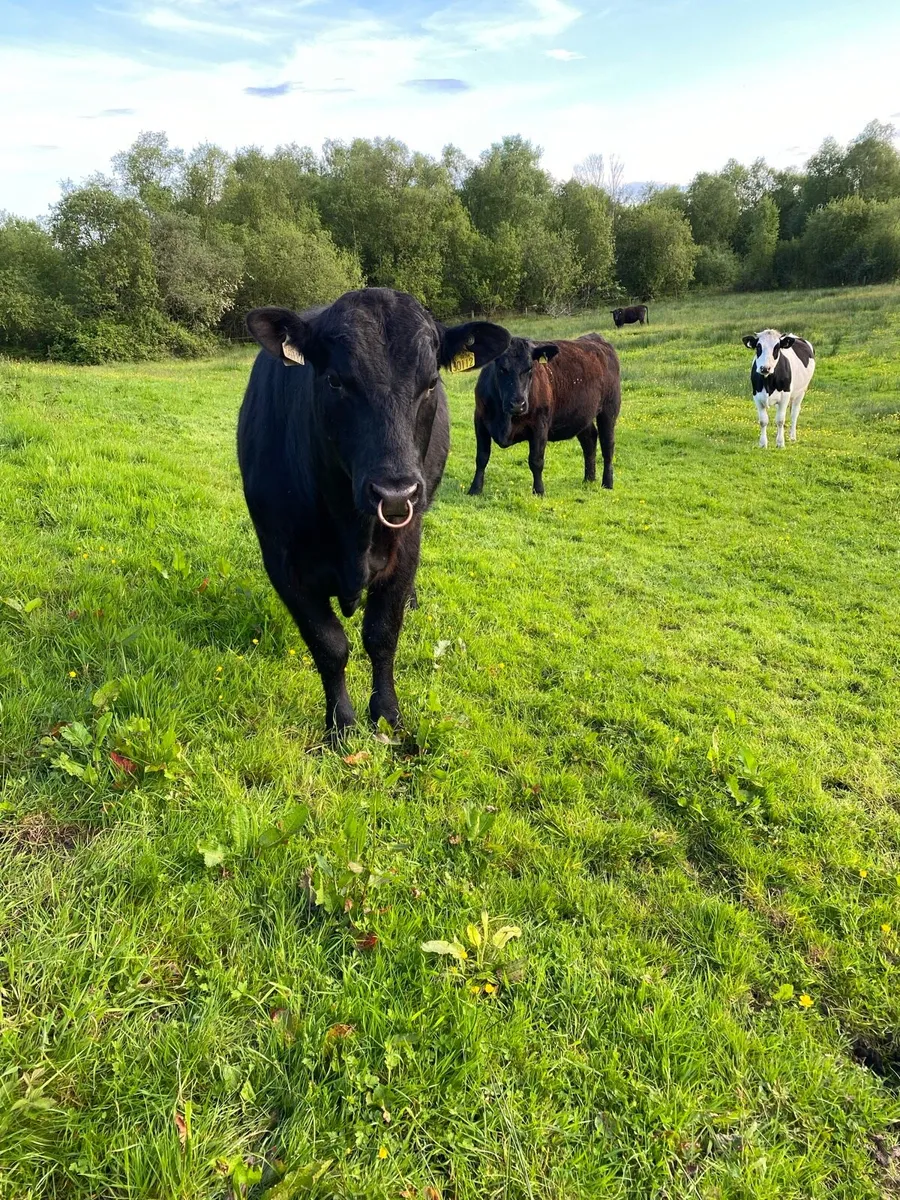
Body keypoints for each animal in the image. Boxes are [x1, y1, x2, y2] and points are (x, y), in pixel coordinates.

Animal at [238, 288, 510, 734]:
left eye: (431, 382)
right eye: (335, 380)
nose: (395, 492)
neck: (350, 528)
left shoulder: (405, 547)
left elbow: (381, 635)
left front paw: (386, 714)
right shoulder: (281, 559)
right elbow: (329, 644)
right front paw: (342, 722)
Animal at [468, 333, 621, 497]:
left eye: (529, 368)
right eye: (502, 369)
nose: (518, 404)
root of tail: (596, 338)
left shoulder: (540, 425)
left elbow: (536, 460)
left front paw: (539, 491)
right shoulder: (480, 420)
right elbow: (482, 457)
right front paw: (475, 489)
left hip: (609, 410)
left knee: (607, 445)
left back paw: (607, 483)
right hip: (582, 414)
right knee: (589, 439)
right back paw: (589, 479)